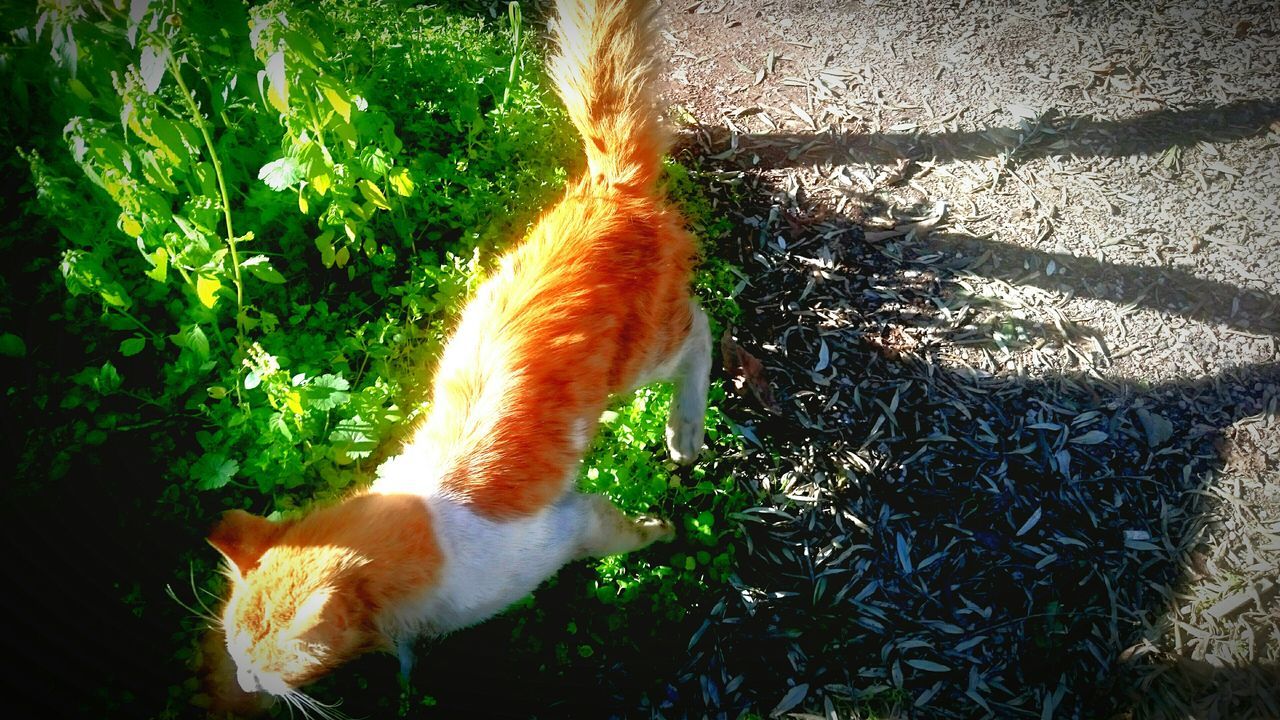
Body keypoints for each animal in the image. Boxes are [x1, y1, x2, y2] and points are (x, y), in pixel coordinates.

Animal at [204, 0, 716, 707]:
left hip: (642, 358)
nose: (243, 681)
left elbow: (625, 531)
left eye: (268, 666)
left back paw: (683, 431)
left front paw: (658, 532)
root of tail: (607, 187)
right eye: (233, 651)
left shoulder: (568, 526)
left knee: (702, 332)